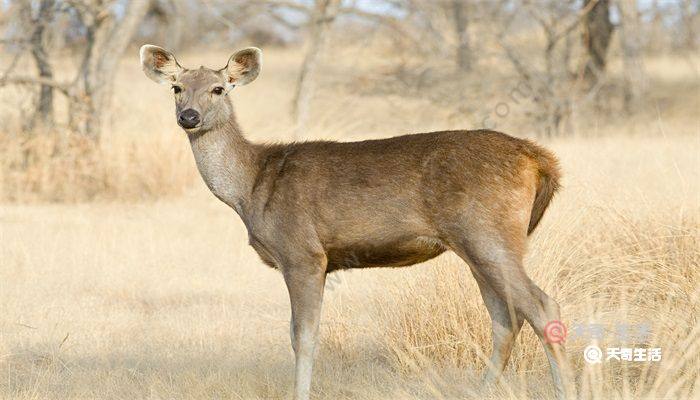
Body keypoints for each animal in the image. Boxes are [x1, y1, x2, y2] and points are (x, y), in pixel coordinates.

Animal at [138, 45, 576, 398]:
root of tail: (539, 159)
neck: (252, 186)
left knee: (542, 306)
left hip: (487, 232)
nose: (189, 116)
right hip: (476, 244)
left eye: (219, 88)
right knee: (505, 318)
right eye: (176, 87)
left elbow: (303, 336)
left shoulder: (303, 253)